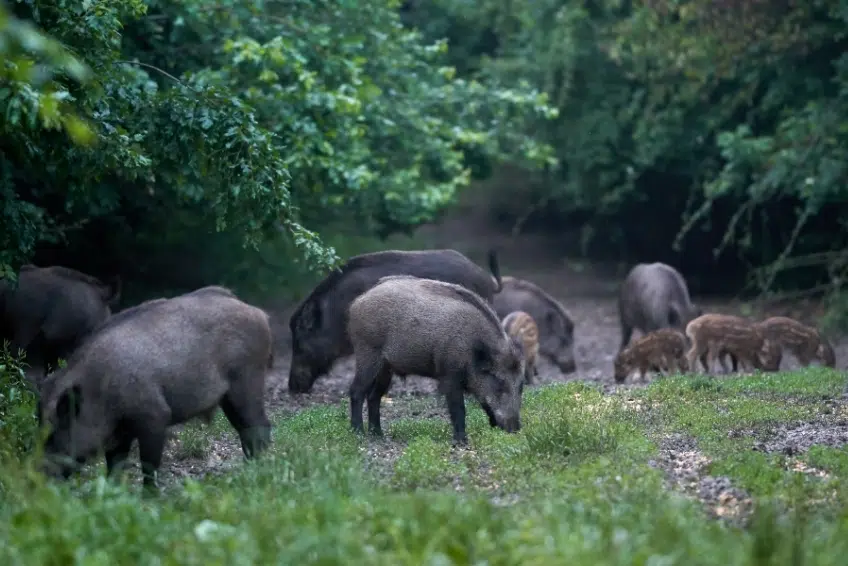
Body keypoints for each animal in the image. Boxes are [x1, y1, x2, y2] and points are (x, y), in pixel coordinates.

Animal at [37, 285, 273, 489]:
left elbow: (149, 465)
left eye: (54, 433)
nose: (38, 478)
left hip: (246, 381)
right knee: (246, 429)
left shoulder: (155, 416)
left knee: (259, 426)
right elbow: (115, 465)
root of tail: (259, 314)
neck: (100, 389)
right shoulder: (119, 434)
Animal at [346, 275, 525, 445]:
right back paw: (358, 433)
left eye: (521, 386)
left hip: (385, 369)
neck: (473, 348)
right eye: (499, 381)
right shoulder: (449, 375)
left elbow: (484, 403)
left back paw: (378, 435)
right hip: (367, 354)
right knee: (356, 391)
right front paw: (461, 441)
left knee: (374, 396)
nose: (516, 429)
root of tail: (357, 302)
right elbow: (459, 408)